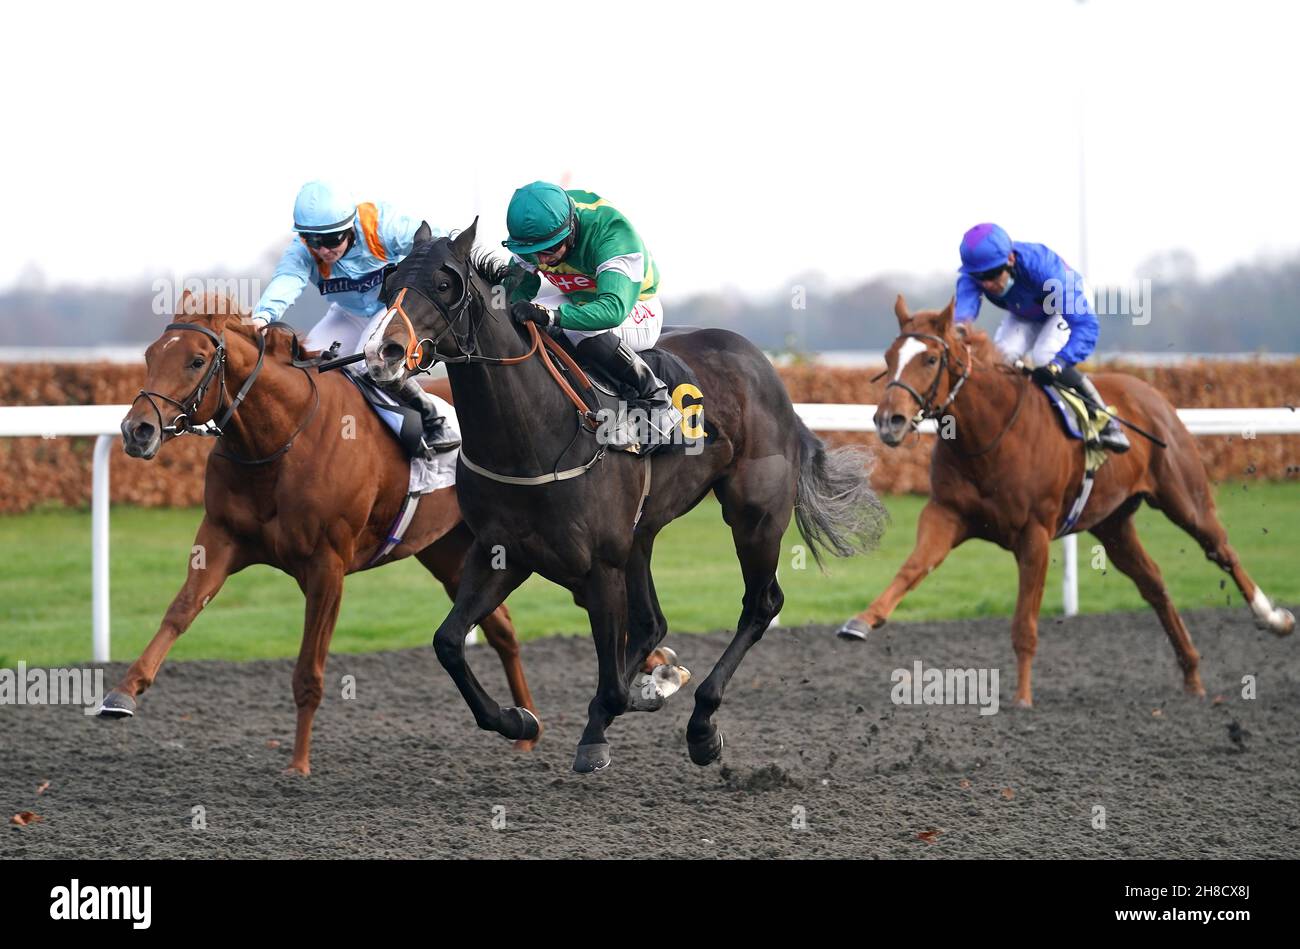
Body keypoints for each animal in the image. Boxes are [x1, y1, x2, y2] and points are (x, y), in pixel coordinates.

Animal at [104, 292, 540, 774]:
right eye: (149, 356)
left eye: (197, 361)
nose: (136, 430)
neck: (279, 441)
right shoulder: (220, 537)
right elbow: (180, 611)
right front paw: (123, 692)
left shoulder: (326, 565)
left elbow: (308, 671)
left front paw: (298, 764)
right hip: (446, 549)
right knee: (502, 628)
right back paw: (525, 730)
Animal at [837, 296, 1294, 702]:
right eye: (888, 357)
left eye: (930, 360)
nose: (889, 421)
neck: (988, 434)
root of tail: (1150, 392)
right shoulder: (946, 513)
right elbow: (913, 567)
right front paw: (862, 621)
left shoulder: (1034, 533)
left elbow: (1025, 623)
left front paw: (1022, 698)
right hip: (1113, 524)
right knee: (1154, 583)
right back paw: (1193, 675)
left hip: (1185, 498)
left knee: (1222, 550)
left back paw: (1272, 618)